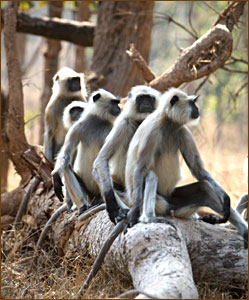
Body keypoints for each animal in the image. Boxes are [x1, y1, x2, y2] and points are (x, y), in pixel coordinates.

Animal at [93, 85, 161, 224]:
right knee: (97, 171)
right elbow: (101, 160)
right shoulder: (124, 124)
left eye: (149, 99)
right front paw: (113, 208)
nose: (146, 104)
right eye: (141, 98)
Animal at [124, 88, 247, 248]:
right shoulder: (152, 131)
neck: (169, 122)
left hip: (175, 203)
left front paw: (226, 199)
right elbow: (139, 169)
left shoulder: (183, 130)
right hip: (158, 202)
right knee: (150, 174)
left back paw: (242, 229)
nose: (197, 109)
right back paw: (148, 218)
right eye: (192, 103)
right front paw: (133, 217)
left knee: (205, 187)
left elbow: (198, 169)